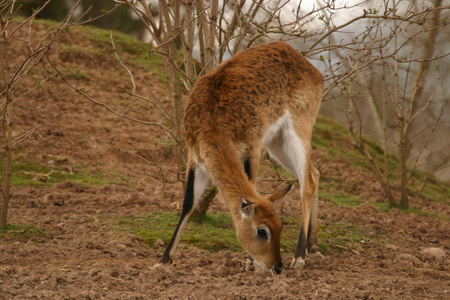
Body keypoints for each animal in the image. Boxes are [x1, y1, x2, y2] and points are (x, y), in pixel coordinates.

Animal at [158, 41, 324, 274]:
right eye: (262, 230)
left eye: (280, 226)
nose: (277, 267)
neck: (214, 119)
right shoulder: (195, 157)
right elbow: (188, 202)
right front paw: (164, 259)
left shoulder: (252, 148)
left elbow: (250, 187)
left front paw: (249, 262)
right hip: (278, 143)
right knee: (314, 174)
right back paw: (312, 245)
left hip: (298, 132)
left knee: (307, 183)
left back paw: (299, 257)